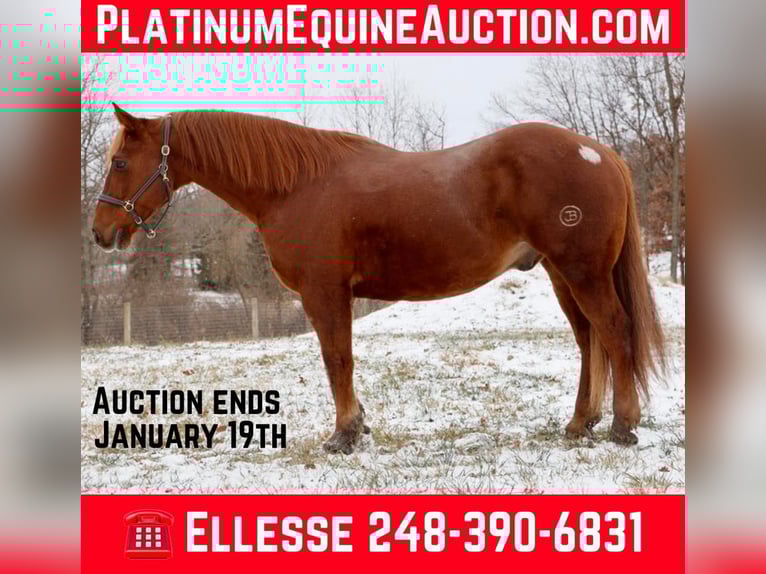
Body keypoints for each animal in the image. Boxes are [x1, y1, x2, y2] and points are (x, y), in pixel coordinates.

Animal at [91, 104, 665, 454]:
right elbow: (340, 360)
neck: (296, 185)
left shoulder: (325, 293)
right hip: (561, 274)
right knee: (589, 340)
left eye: (119, 161)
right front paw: (358, 424)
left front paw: (344, 435)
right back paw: (579, 424)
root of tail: (600, 152)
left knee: (614, 332)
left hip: (583, 272)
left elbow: (337, 359)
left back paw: (622, 426)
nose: (101, 232)